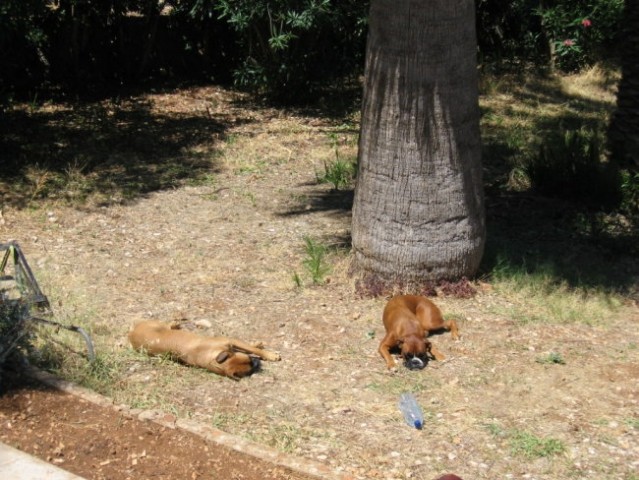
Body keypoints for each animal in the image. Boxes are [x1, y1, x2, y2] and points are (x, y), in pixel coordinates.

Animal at [129, 320, 282, 380]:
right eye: (249, 370)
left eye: (249, 360)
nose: (257, 364)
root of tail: (131, 333)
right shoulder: (231, 342)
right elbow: (253, 349)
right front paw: (270, 355)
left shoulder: (231, 343)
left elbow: (250, 348)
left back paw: (176, 323)